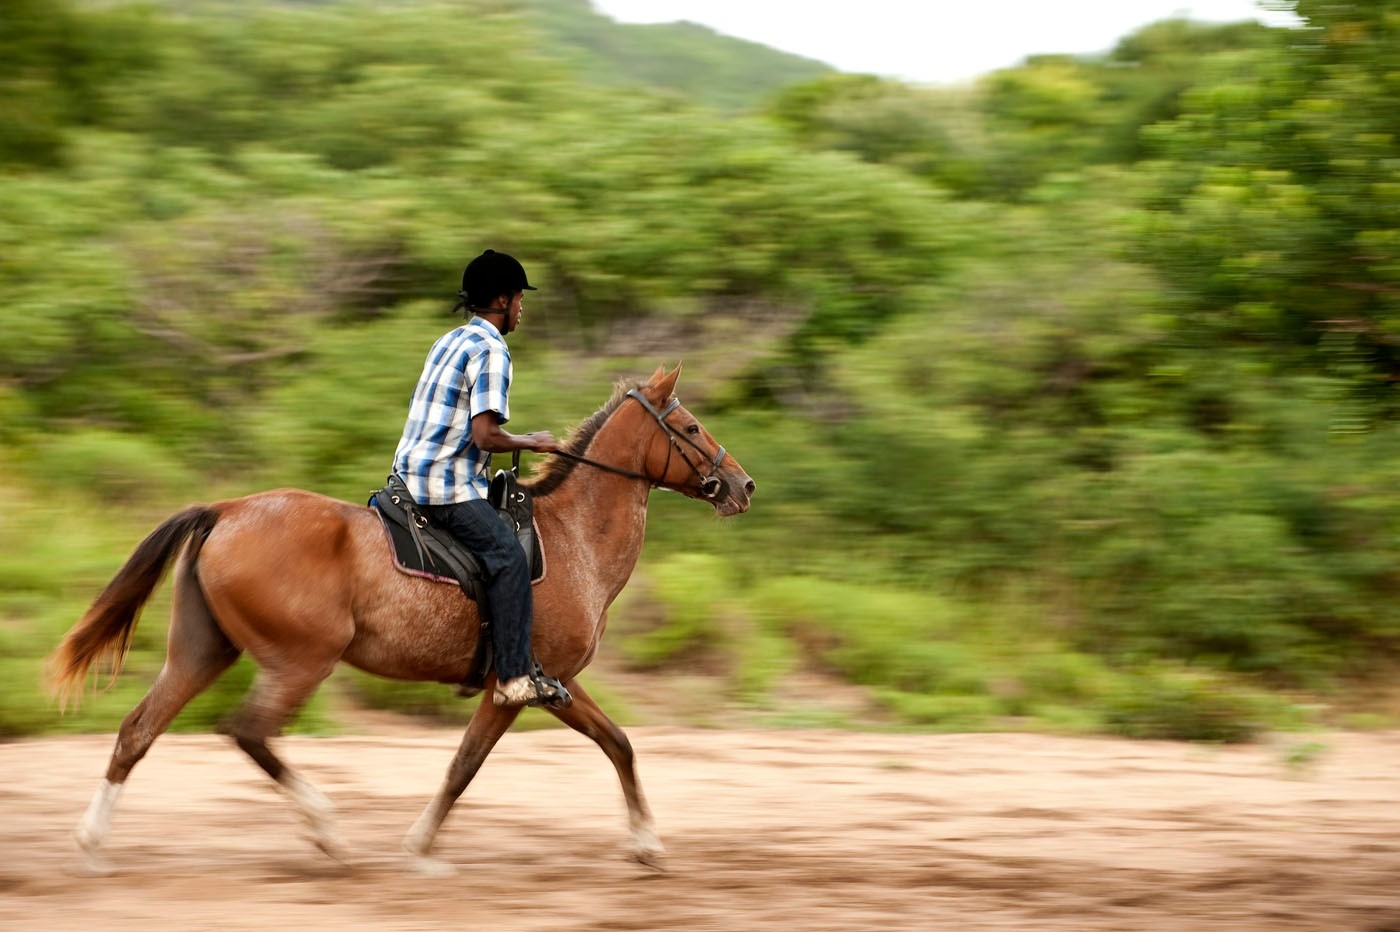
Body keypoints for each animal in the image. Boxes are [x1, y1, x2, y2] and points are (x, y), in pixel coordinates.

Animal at [49, 366, 756, 873]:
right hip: (300, 661)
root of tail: (225, 510)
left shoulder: (558, 682)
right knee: (249, 732)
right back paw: (328, 832)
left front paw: (647, 845)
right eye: (690, 427)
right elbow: (464, 765)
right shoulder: (516, 687)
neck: (572, 538)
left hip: (202, 652)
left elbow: (619, 743)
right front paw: (418, 845)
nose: (743, 485)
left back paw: (91, 840)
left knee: (138, 730)